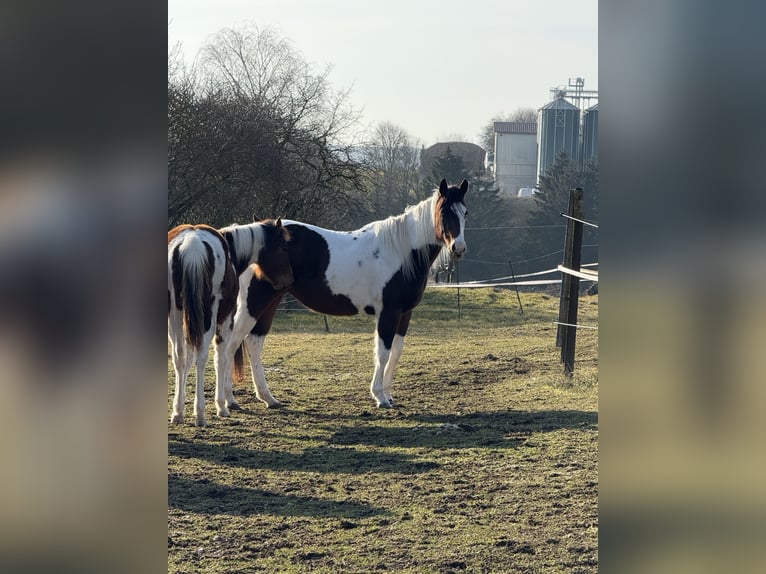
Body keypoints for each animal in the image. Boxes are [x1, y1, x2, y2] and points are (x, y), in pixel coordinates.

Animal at [167, 219, 293, 426]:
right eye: (283, 246)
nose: (288, 280)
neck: (231, 250)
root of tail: (191, 245)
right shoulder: (226, 318)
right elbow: (221, 357)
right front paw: (222, 405)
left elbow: (187, 360)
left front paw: (180, 407)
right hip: (207, 315)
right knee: (202, 357)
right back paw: (200, 414)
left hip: (176, 315)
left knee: (179, 357)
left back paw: (177, 413)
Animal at [218, 178, 469, 410]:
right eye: (445, 212)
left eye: (465, 212)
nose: (459, 248)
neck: (401, 251)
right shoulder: (388, 312)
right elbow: (382, 352)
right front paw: (379, 396)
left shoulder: (404, 313)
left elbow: (396, 352)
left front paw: (389, 395)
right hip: (253, 303)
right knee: (231, 345)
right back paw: (230, 401)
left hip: (270, 302)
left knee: (253, 343)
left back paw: (268, 398)